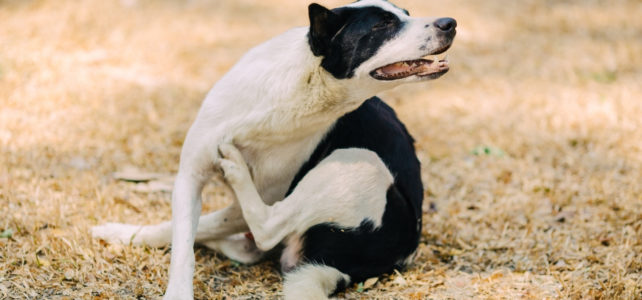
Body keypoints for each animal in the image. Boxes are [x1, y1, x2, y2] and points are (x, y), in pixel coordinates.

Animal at [91, 1, 456, 298]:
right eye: (384, 24)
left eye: (405, 14)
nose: (450, 22)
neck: (302, 88)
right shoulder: (190, 175)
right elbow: (183, 244)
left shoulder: (262, 195)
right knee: (243, 242)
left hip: (359, 161)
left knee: (266, 228)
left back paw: (235, 168)